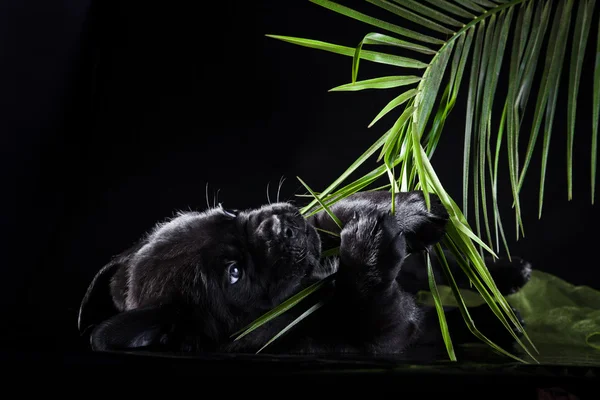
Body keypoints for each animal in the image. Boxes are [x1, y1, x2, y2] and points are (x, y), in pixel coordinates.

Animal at [78, 191, 528, 356]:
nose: (276, 226)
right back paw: (503, 321)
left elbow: (330, 218)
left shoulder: (318, 231)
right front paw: (369, 246)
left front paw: (401, 207)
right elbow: (367, 302)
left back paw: (506, 273)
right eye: (235, 273)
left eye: (227, 212)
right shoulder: (380, 336)